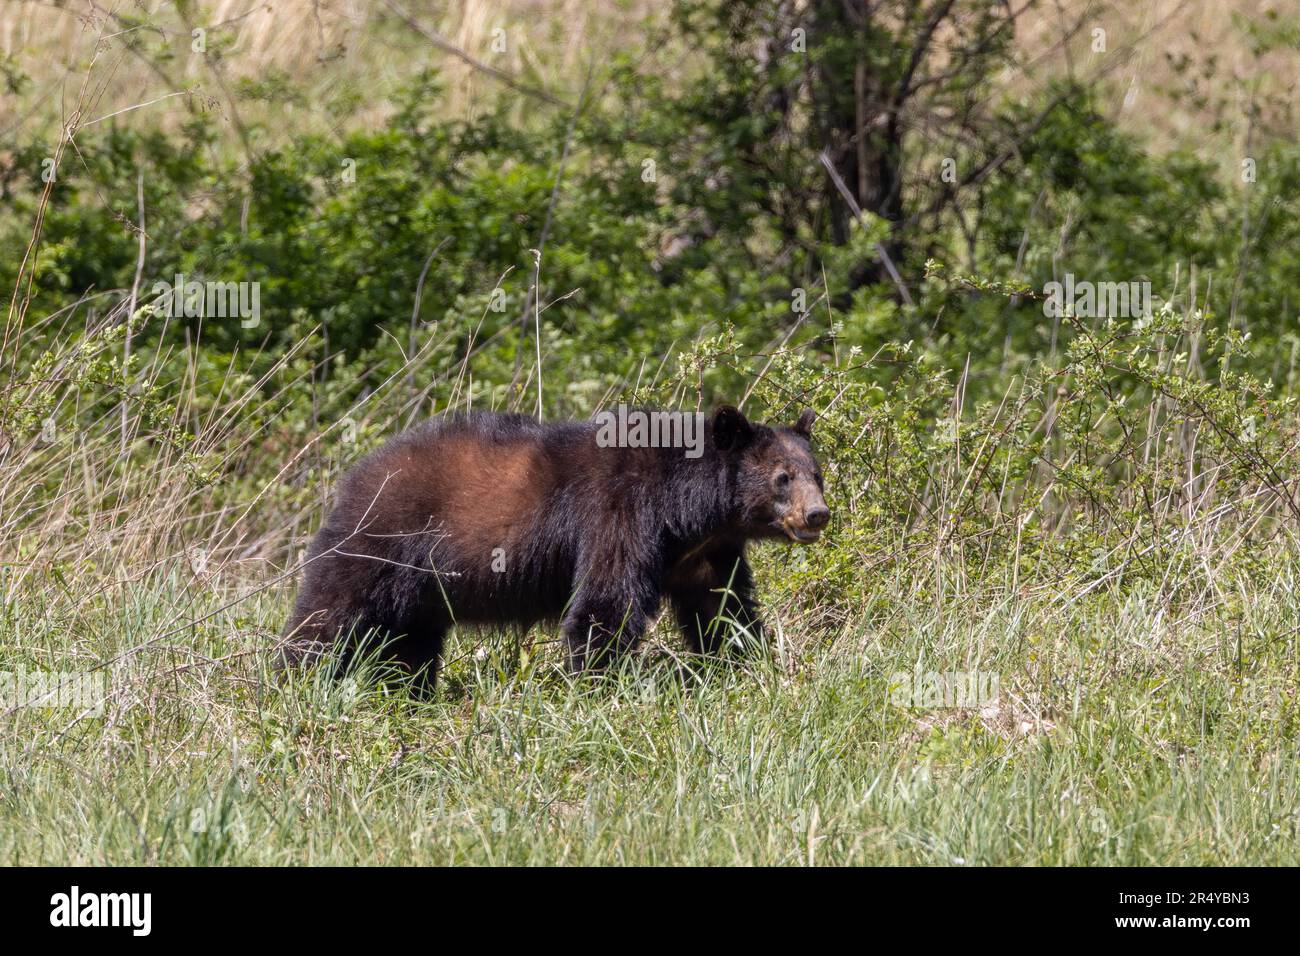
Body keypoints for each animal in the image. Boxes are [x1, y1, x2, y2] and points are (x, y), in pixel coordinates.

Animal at [282, 403, 832, 686]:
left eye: (817, 473)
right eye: (783, 477)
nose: (818, 514)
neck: (684, 507)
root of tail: (355, 473)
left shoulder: (704, 552)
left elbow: (723, 606)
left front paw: (745, 663)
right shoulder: (620, 514)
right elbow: (607, 600)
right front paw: (594, 682)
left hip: (419, 589)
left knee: (409, 640)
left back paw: (407, 690)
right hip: (382, 539)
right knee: (331, 612)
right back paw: (298, 677)